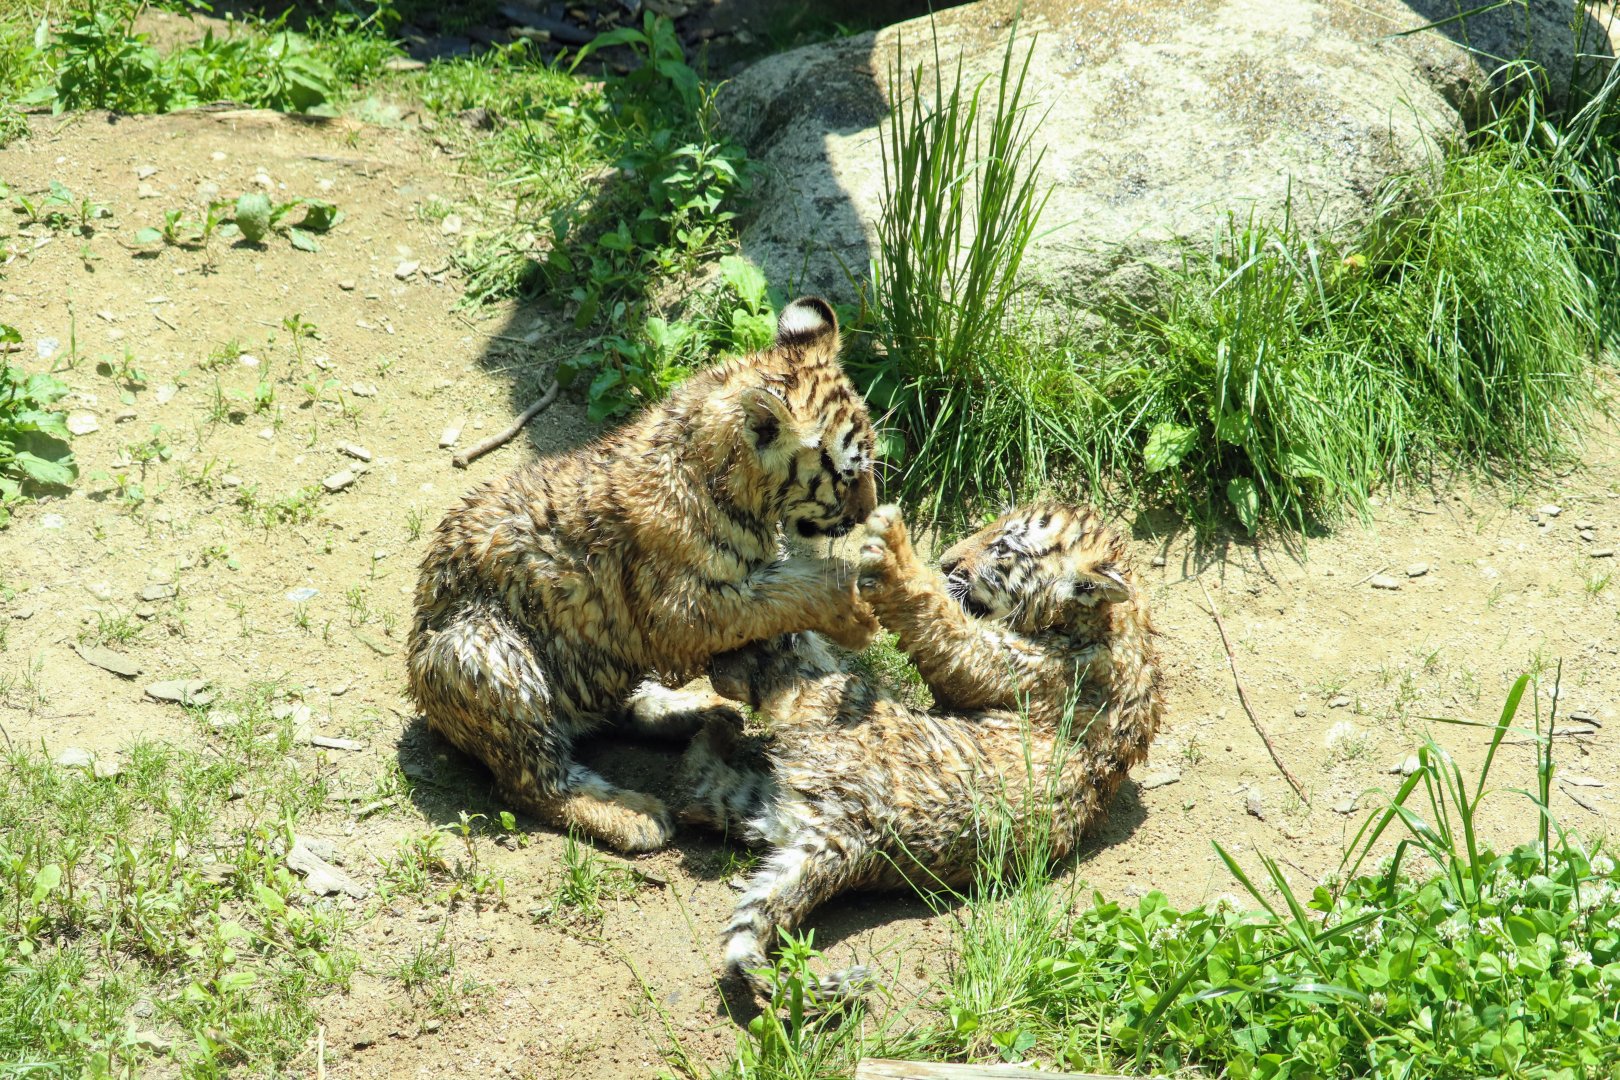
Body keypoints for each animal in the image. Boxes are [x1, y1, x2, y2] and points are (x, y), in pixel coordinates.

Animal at [406, 298, 880, 853]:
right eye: (847, 476)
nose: (869, 512)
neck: (734, 488)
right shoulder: (684, 612)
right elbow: (796, 587)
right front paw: (857, 616)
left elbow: (794, 615)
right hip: (483, 652)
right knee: (533, 782)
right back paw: (636, 814)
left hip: (596, 660)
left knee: (613, 709)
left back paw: (700, 712)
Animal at [665, 501, 1164, 998]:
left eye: (1002, 547)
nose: (945, 561)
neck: (1106, 621)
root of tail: (850, 836)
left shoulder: (990, 660)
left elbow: (938, 617)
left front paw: (892, 549)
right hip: (769, 801)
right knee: (698, 791)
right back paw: (714, 728)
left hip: (843, 706)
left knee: (786, 671)